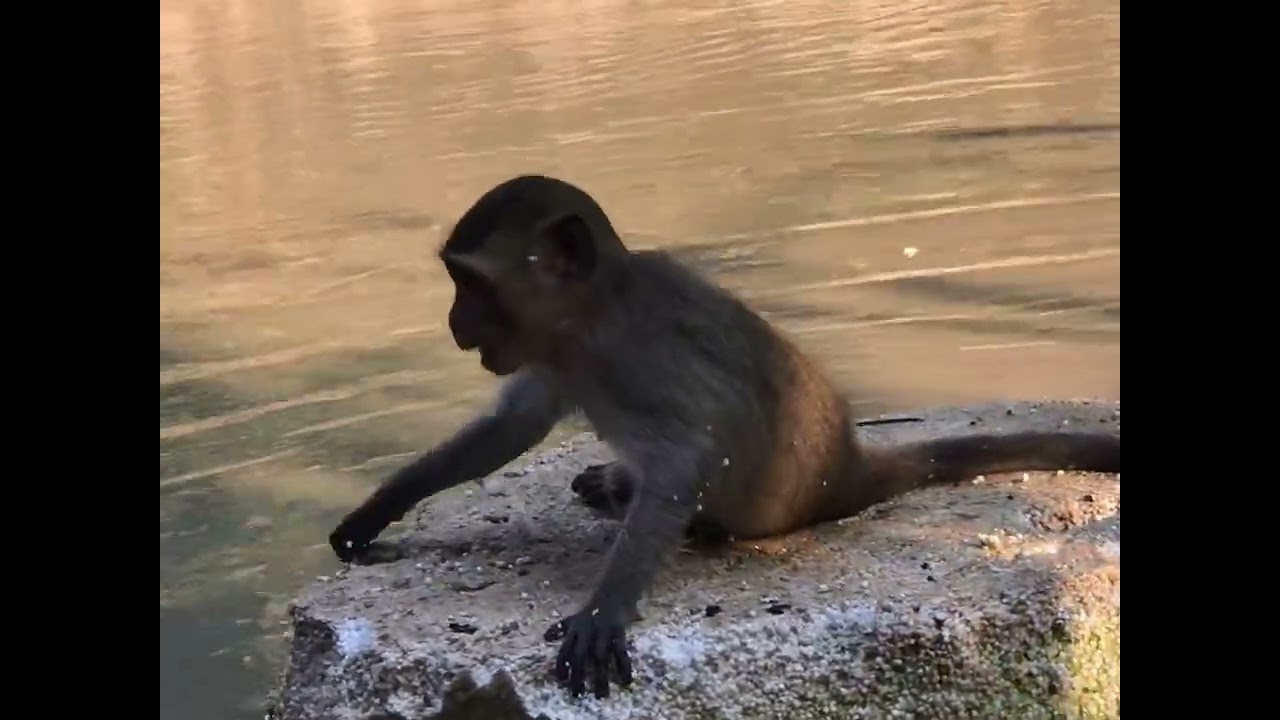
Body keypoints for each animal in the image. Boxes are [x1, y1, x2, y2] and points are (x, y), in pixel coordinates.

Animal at [328, 174, 1120, 700]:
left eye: (473, 287)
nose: (455, 324)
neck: (591, 315)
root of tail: (847, 466)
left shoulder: (638, 353)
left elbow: (685, 456)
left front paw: (606, 609)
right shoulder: (554, 355)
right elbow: (510, 428)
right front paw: (377, 509)